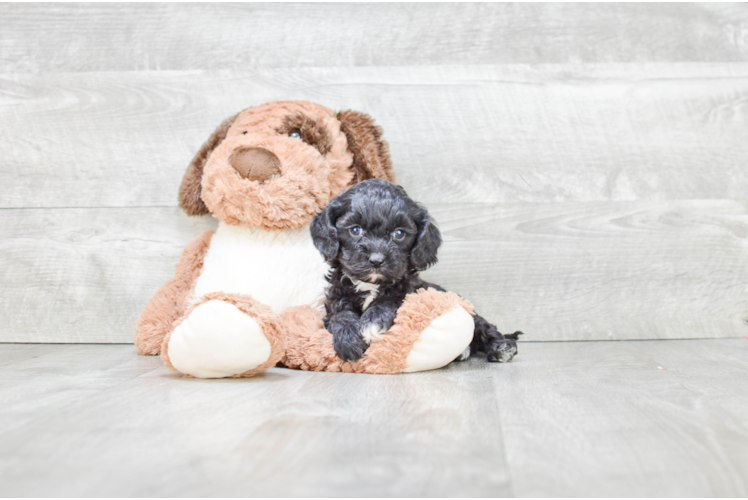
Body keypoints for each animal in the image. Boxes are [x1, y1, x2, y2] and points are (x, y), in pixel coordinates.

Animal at [310, 179, 520, 364]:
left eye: (399, 233)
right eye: (355, 230)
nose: (377, 260)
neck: (370, 284)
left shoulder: (411, 291)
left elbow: (392, 299)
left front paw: (374, 319)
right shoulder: (335, 299)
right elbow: (340, 315)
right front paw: (349, 340)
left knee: (485, 328)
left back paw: (501, 347)